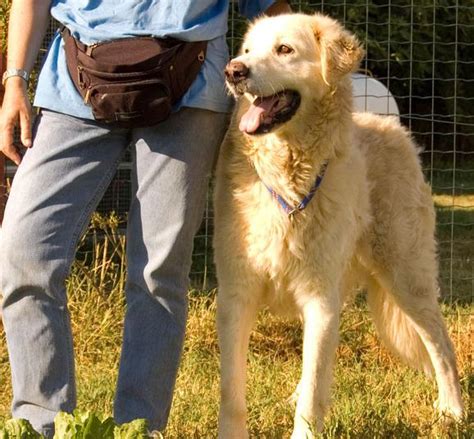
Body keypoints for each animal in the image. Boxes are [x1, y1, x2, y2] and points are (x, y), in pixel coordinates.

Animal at [213, 12, 464, 438]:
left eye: (284, 49)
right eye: (247, 50)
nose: (234, 71)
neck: (289, 177)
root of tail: (397, 130)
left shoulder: (320, 298)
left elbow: (315, 388)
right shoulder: (236, 295)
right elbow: (232, 390)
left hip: (405, 276)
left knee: (441, 346)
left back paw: (453, 411)